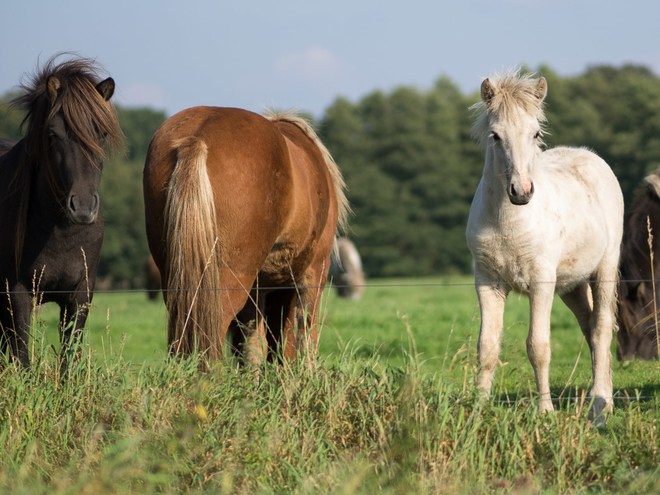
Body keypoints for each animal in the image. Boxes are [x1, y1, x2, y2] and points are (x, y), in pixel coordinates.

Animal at [0, 56, 122, 366]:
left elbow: (69, 358)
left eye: (102, 133)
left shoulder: (79, 296)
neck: (61, 231)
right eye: (53, 134)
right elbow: (23, 357)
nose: (83, 208)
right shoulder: (17, 293)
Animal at [143, 105, 350, 368]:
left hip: (177, 282)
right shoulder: (313, 269)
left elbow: (252, 345)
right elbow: (304, 333)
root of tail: (197, 137)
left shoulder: (258, 289)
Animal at [464, 71, 624, 424]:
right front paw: (478, 410)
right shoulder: (487, 283)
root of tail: (590, 156)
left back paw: (600, 405)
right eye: (495, 135)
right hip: (571, 285)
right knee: (589, 329)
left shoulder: (541, 281)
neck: (507, 223)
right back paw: (603, 400)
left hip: (604, 269)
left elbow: (538, 346)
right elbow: (487, 347)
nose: (521, 191)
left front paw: (545, 411)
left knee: (602, 328)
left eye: (535, 132)